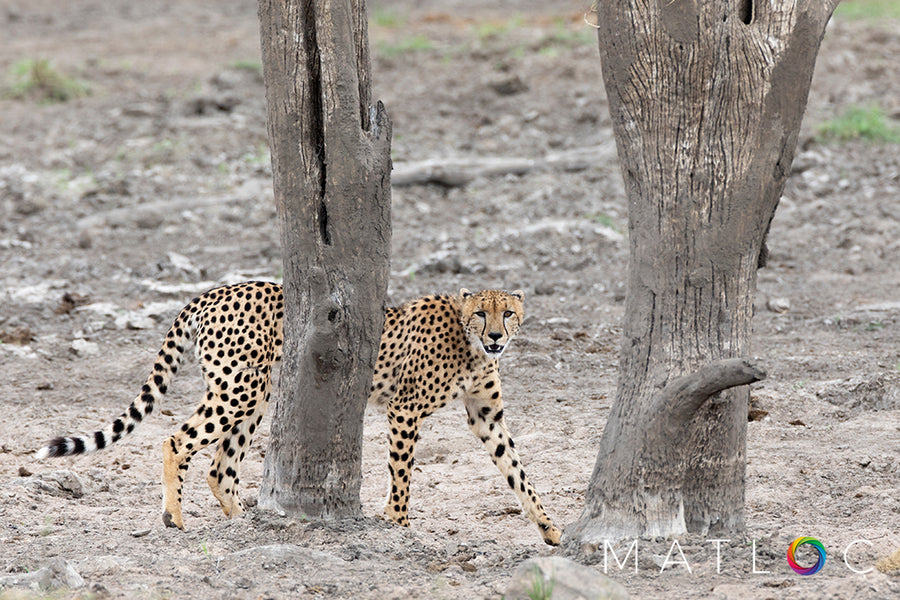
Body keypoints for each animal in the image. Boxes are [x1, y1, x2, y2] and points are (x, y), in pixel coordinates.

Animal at [37, 282, 564, 544]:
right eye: (481, 314)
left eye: (507, 313)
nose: (495, 337)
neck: (470, 345)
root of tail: (211, 292)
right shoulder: (404, 410)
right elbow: (402, 475)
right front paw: (397, 524)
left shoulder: (487, 418)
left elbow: (520, 473)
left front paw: (550, 528)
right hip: (239, 389)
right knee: (176, 438)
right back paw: (174, 517)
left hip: (258, 395)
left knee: (219, 466)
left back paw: (242, 522)